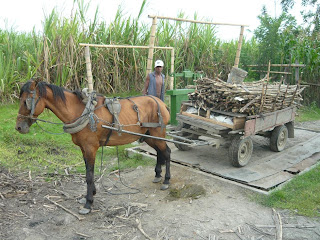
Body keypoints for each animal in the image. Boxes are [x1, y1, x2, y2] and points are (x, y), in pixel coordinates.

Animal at [15, 79, 170, 215]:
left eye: (26, 101)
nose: (18, 127)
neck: (81, 112)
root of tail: (161, 103)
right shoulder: (83, 148)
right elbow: (87, 173)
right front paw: (91, 194)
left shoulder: (90, 148)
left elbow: (89, 175)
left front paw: (88, 203)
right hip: (150, 136)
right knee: (159, 152)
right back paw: (158, 174)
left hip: (157, 133)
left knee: (166, 152)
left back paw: (166, 180)